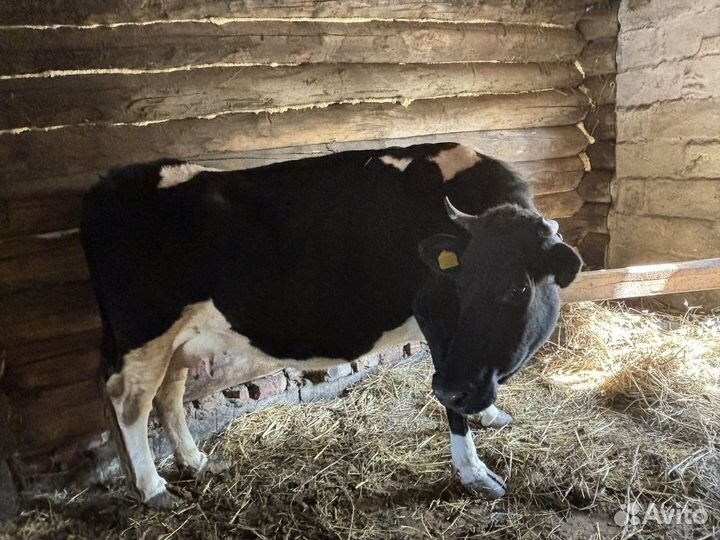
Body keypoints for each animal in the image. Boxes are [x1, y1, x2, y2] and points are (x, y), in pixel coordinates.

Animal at [80, 143, 582, 508]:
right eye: (457, 284)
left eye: (518, 288)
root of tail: (111, 182)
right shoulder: (434, 314)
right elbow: (449, 397)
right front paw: (474, 472)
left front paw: (490, 415)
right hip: (143, 331)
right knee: (130, 401)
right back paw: (153, 489)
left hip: (175, 339)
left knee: (168, 394)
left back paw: (195, 461)